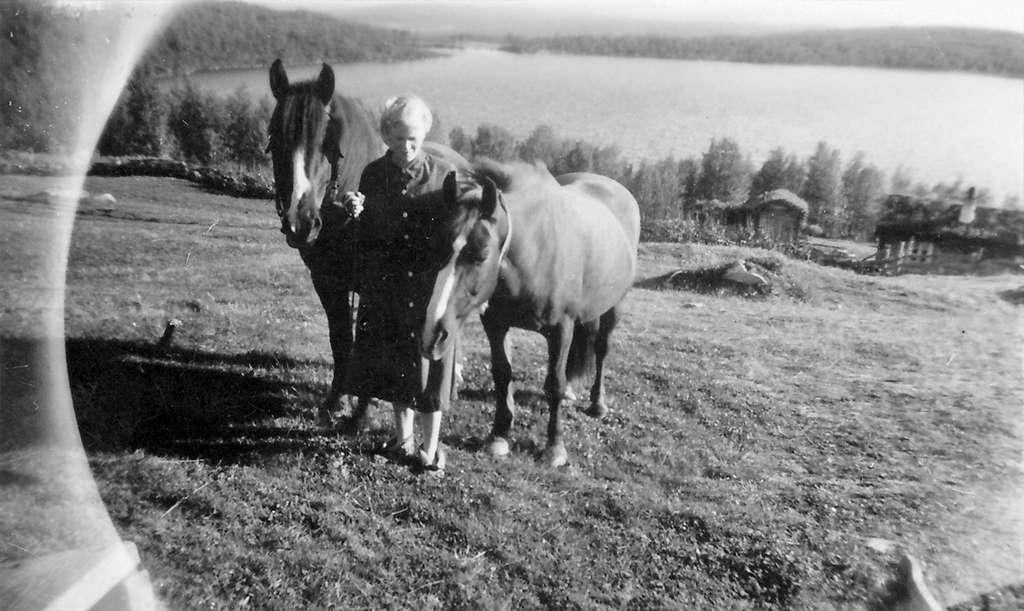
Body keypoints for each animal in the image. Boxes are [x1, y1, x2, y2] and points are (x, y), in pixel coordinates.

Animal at [417, 159, 638, 464]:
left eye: (481, 255)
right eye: (435, 247)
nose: (433, 334)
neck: (536, 250)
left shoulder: (561, 329)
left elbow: (554, 384)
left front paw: (555, 448)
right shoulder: (495, 324)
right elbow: (502, 375)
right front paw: (499, 435)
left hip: (615, 307)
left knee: (602, 349)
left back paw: (598, 404)